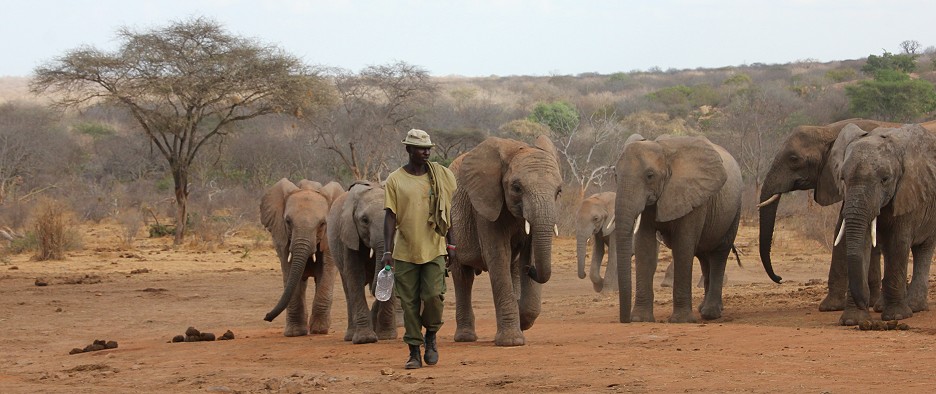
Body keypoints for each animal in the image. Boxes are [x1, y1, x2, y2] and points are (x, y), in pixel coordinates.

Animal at [262, 179, 346, 336]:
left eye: (322, 224)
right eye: (288, 221)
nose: (266, 317)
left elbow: (327, 271)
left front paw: (319, 330)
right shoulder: (281, 236)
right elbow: (289, 271)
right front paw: (295, 333)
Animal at [326, 180, 398, 344]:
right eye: (364, 220)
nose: (376, 289)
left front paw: (386, 336)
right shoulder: (348, 235)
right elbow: (355, 276)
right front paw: (365, 339)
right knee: (348, 288)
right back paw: (350, 336)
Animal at [448, 135, 560, 344]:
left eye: (559, 192)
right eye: (516, 188)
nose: (531, 269)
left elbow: (529, 251)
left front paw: (522, 320)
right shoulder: (485, 204)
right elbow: (498, 255)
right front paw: (511, 342)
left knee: (512, 269)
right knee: (463, 276)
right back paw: (465, 338)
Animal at [612, 134, 744, 322]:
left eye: (650, 176)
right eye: (615, 175)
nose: (625, 320)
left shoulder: (693, 195)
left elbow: (683, 246)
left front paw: (681, 320)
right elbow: (645, 248)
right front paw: (640, 319)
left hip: (734, 210)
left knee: (719, 254)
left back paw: (711, 314)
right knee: (704, 256)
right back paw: (703, 309)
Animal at [828, 124, 936, 326]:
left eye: (885, 179)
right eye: (843, 179)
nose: (865, 302)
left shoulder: (908, 192)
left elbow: (898, 243)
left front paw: (897, 316)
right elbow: (862, 244)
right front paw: (853, 320)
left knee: (924, 248)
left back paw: (914, 307)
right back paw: (881, 307)